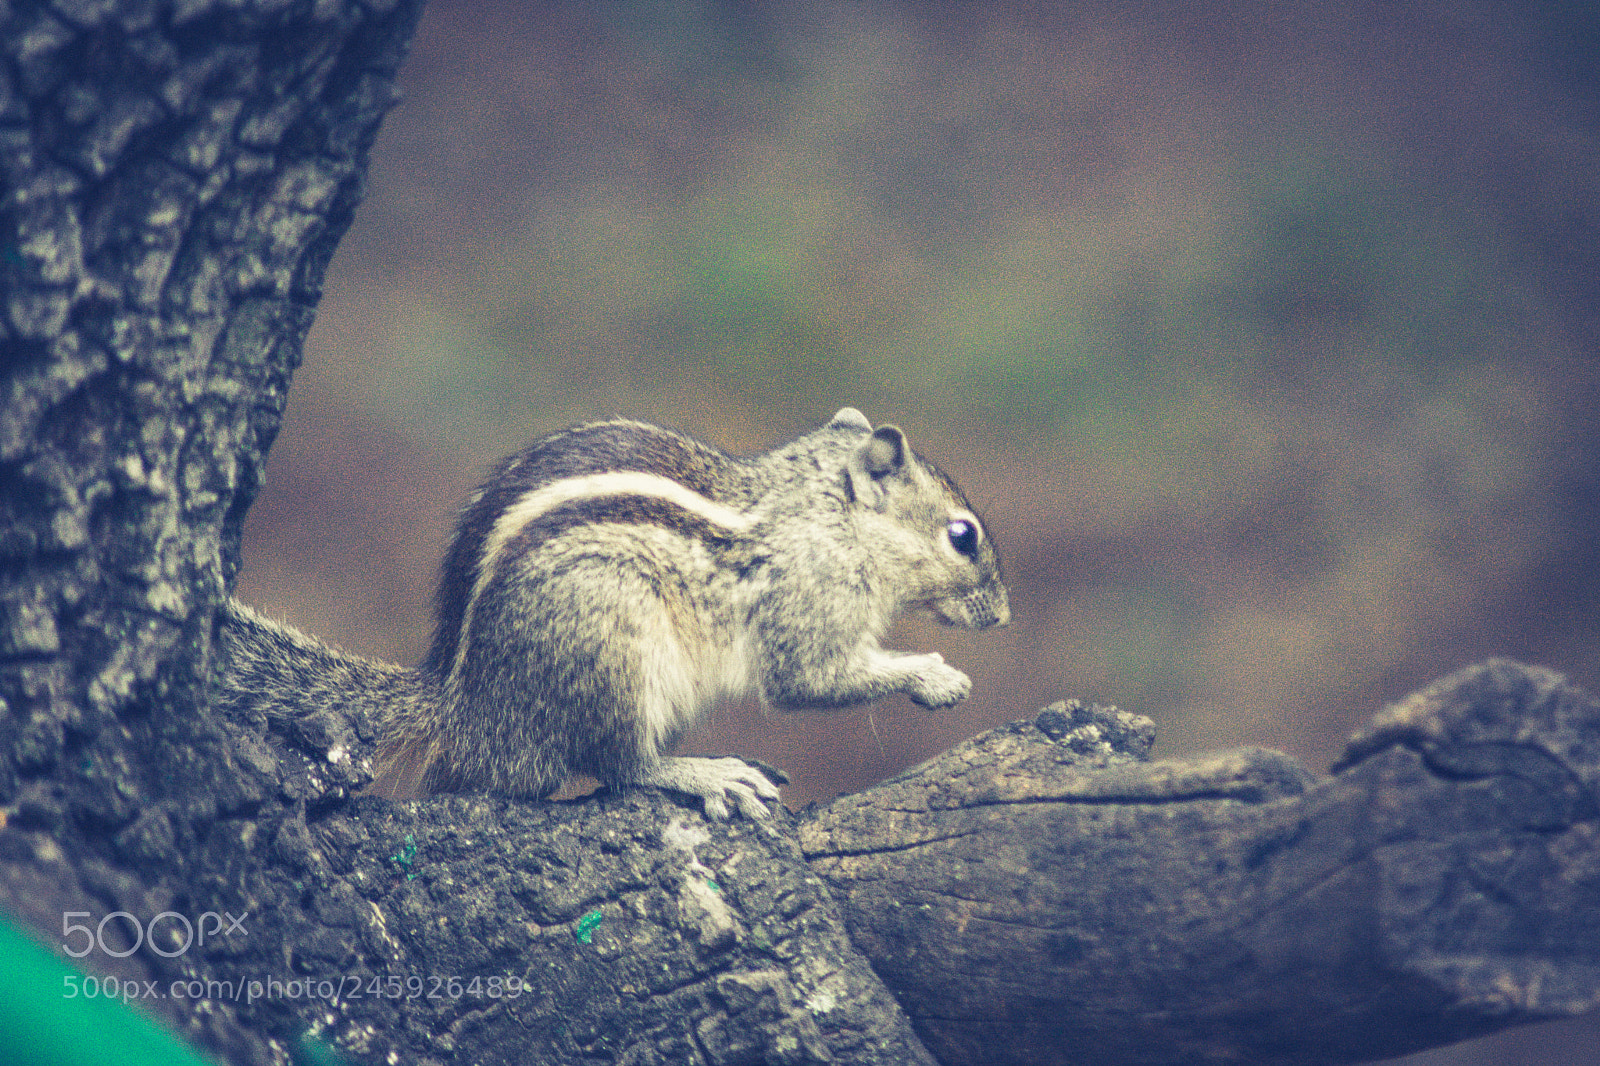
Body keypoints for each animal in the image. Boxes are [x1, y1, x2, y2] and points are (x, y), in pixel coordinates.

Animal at [216, 408, 1009, 819]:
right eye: (962, 536)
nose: (1002, 616)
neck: (822, 515)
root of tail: (466, 706)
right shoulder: (808, 602)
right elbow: (810, 681)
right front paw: (937, 677)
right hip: (612, 645)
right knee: (620, 765)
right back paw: (701, 774)